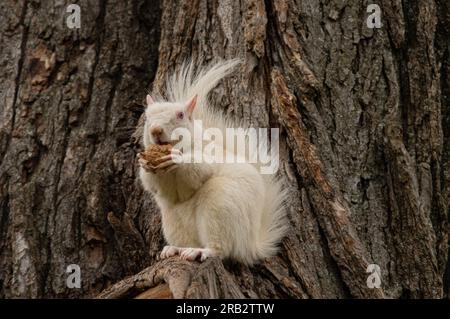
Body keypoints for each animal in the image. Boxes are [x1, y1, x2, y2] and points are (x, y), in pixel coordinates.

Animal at [136, 59, 288, 264]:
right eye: (147, 117)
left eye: (180, 115)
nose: (156, 130)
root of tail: (251, 245)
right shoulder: (162, 185)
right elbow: (156, 186)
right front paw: (145, 164)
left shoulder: (209, 155)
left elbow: (199, 169)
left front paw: (177, 158)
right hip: (173, 221)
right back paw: (176, 249)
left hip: (220, 207)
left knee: (221, 249)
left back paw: (201, 252)